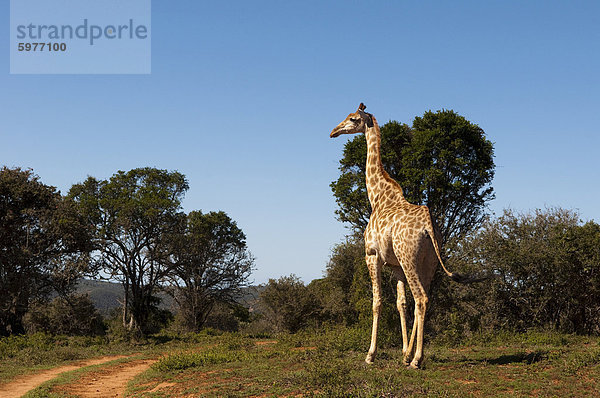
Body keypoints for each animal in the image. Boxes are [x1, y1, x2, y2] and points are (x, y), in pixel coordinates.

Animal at [330, 103, 466, 370]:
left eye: (352, 119)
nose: (334, 131)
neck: (377, 197)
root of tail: (429, 225)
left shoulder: (372, 255)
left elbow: (377, 302)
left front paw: (370, 354)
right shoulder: (395, 266)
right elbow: (401, 304)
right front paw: (403, 351)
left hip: (408, 257)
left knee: (421, 298)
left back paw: (417, 360)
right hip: (428, 262)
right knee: (423, 298)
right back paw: (411, 357)